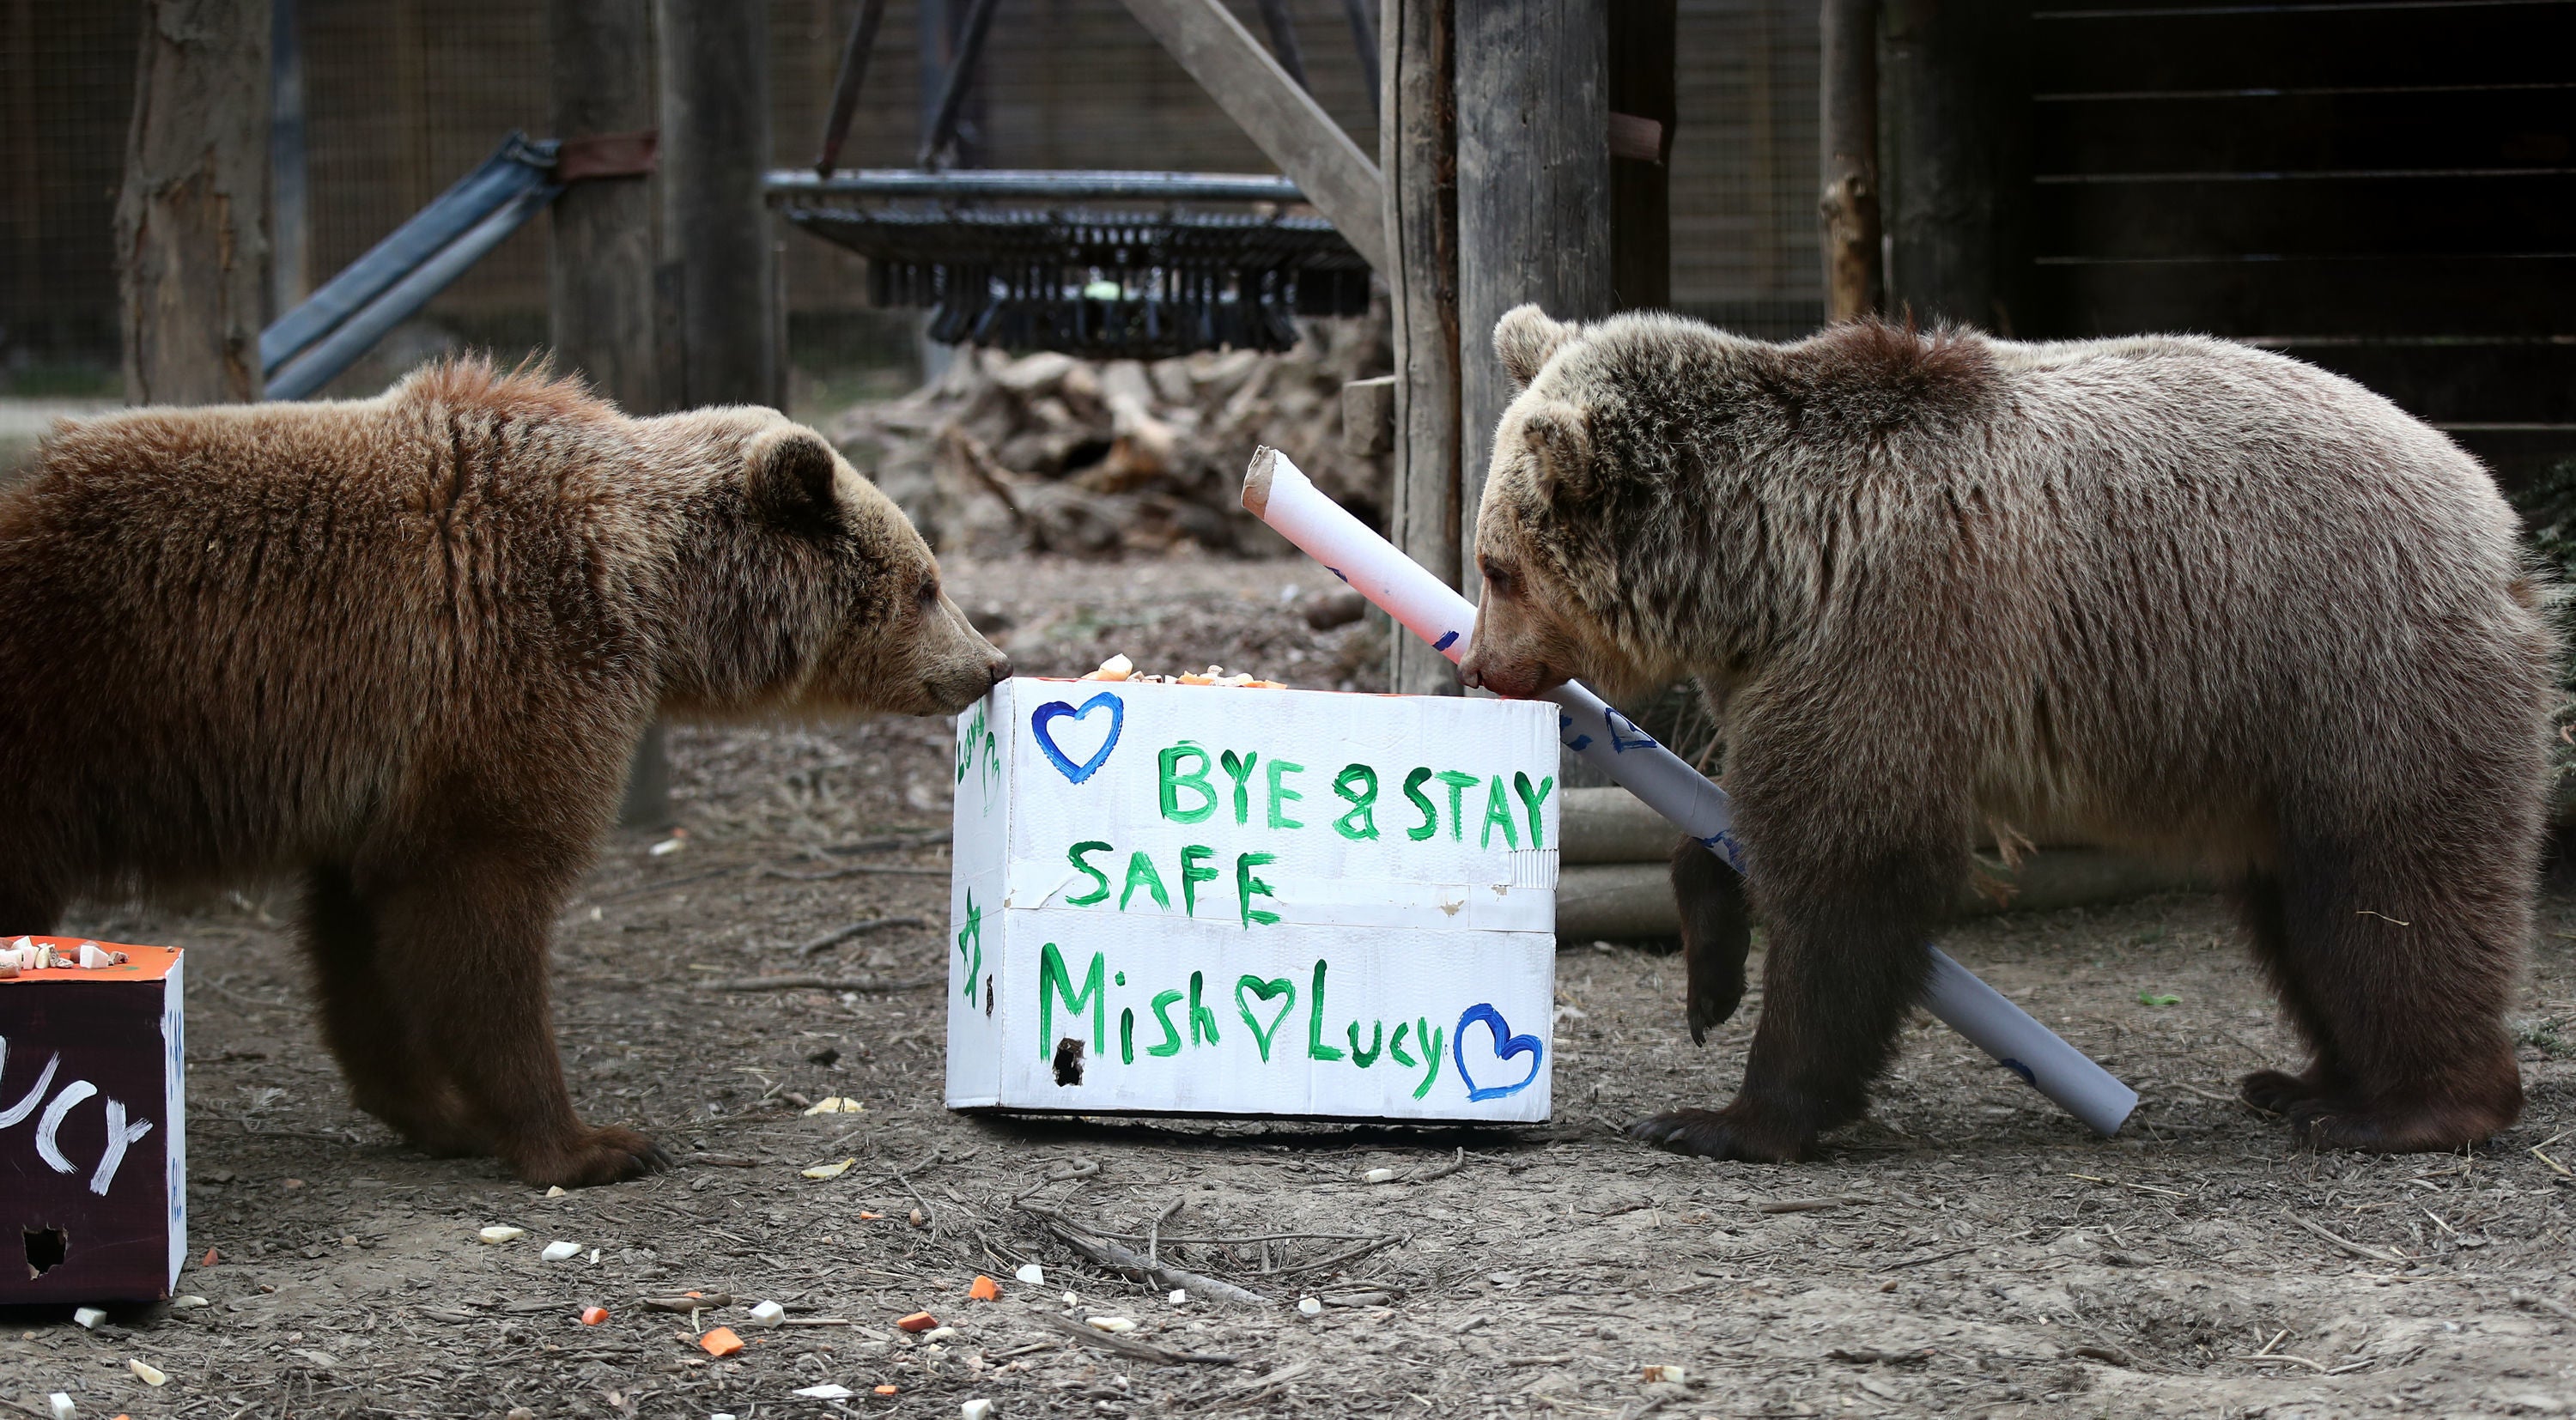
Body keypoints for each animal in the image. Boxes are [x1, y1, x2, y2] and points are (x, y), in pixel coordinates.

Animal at [0, 358, 1005, 1190]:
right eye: (925, 583)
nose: (989, 663)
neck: (651, 590)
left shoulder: (379, 776)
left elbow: (360, 937)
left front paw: (435, 1111)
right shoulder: (505, 665)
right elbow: (482, 908)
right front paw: (592, 1142)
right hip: (55, 718)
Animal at [1463, 305, 2545, 1159]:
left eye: (1497, 567)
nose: (1478, 664)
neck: (1766, 567)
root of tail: (2495, 520)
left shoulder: (1896, 625)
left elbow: (1850, 869)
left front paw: (1726, 1117)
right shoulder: (1786, 669)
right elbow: (1742, 817)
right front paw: (1708, 980)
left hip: (2355, 676)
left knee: (2391, 890)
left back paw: (2405, 1108)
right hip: (2274, 745)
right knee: (2301, 911)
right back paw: (2306, 1083)